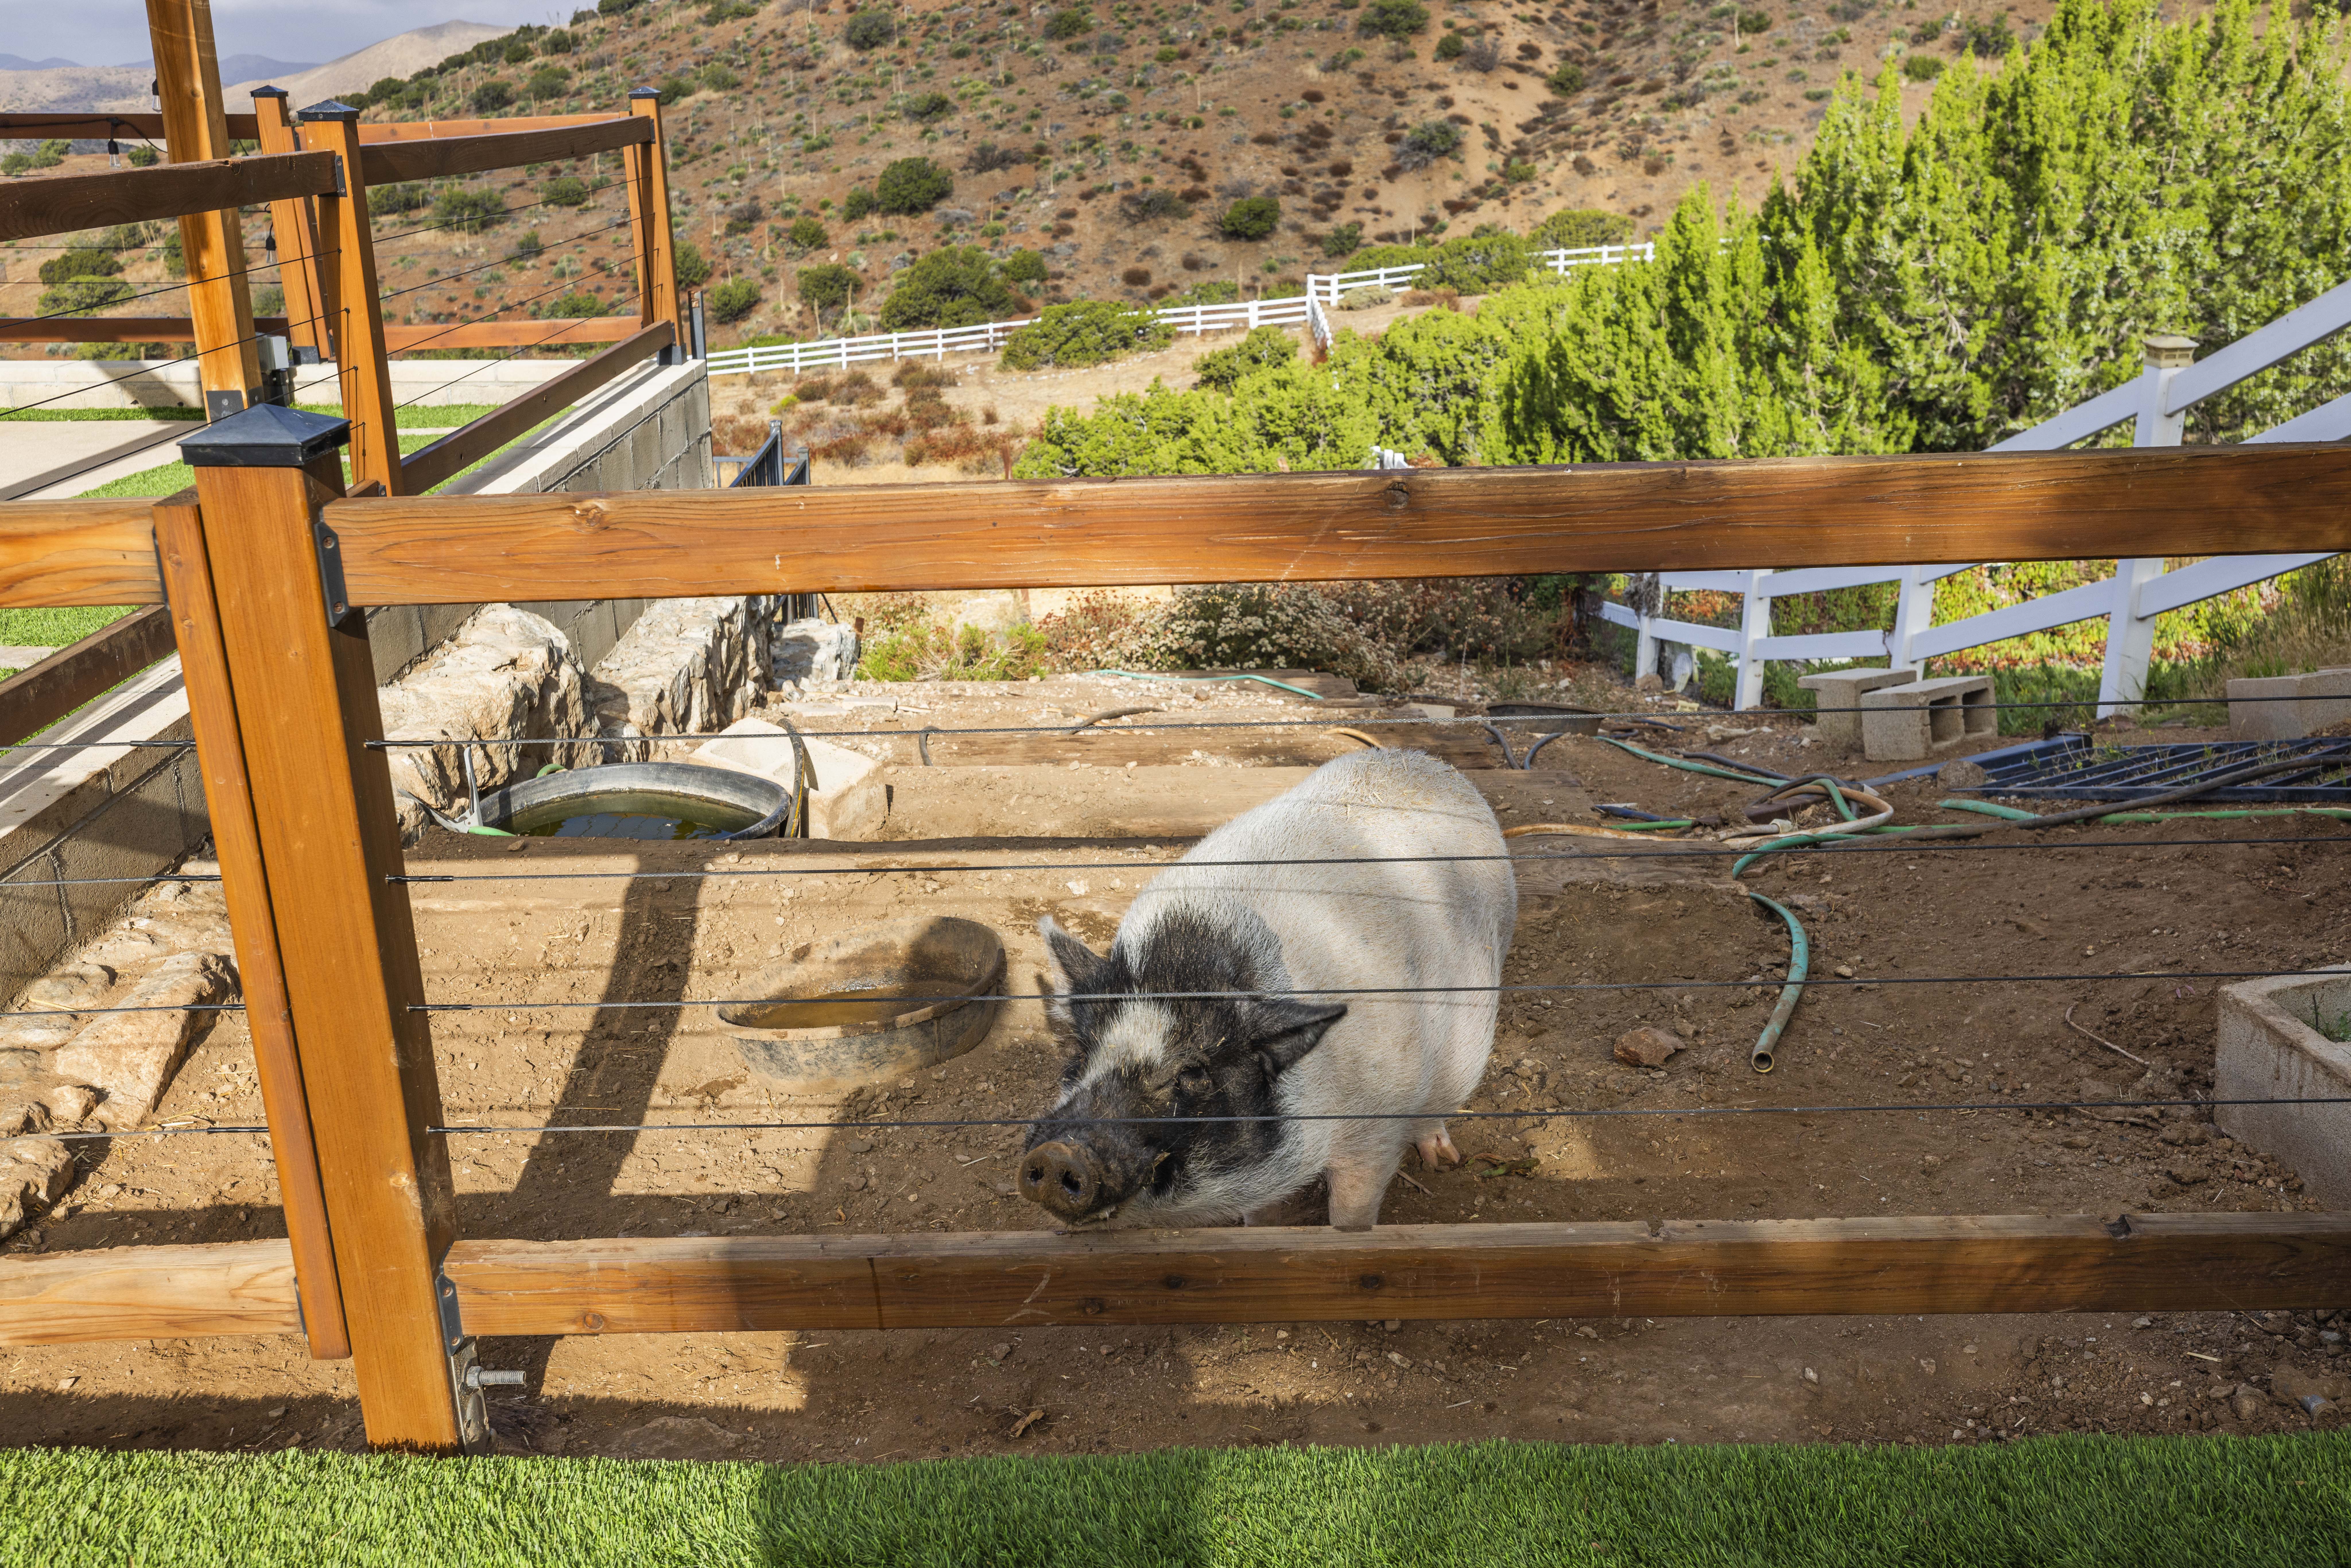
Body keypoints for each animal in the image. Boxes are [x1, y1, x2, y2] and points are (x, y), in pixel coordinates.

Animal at [1016, 748, 1514, 1230]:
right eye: (1082, 1052)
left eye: (1195, 1072)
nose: (1059, 1154)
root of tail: (1430, 765)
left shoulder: (1376, 1129)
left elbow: (1353, 1210)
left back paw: (1442, 1160)